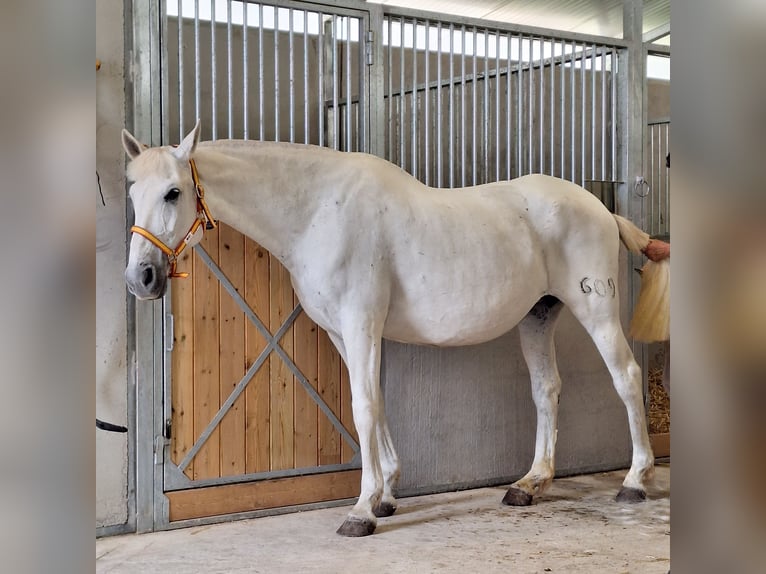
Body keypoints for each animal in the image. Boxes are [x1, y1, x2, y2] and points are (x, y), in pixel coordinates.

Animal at [123, 121, 656, 540]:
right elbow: (375, 402)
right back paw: (529, 484)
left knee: (627, 378)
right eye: (132, 192)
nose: (140, 279)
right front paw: (385, 496)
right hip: (537, 316)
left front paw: (361, 511)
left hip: (596, 308)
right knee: (546, 389)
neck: (318, 211)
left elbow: (362, 407)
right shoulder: (343, 332)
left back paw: (635, 481)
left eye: (173, 192)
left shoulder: (361, 322)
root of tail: (600, 209)